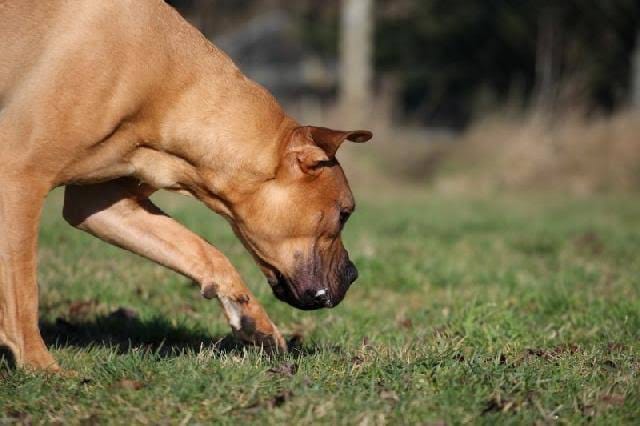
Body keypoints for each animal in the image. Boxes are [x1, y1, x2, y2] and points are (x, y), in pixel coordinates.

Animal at [0, 0, 372, 370]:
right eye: (344, 214)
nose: (354, 274)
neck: (170, 91)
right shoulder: (19, 173)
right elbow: (23, 290)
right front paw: (39, 364)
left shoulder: (98, 205)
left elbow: (206, 252)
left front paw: (255, 323)